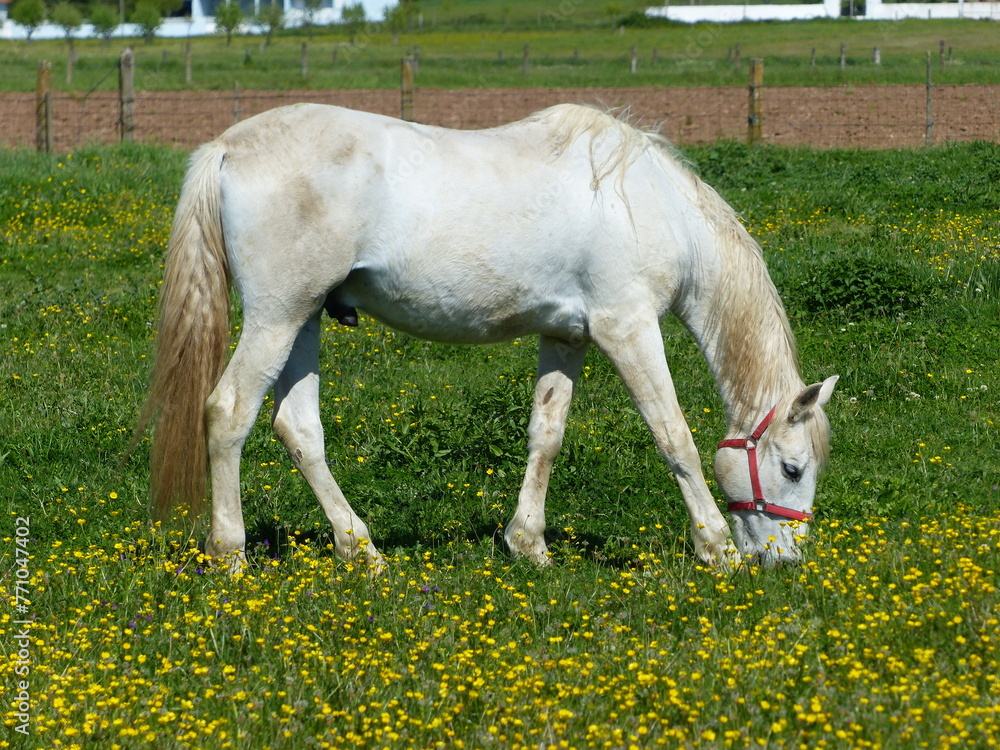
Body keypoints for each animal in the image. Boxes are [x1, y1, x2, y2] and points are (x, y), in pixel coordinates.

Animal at [133, 101, 836, 568]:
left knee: (298, 429)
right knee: (228, 414)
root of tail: (227, 147)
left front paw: (529, 547)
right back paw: (231, 556)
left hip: (302, 319)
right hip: (277, 318)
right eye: (793, 468)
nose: (786, 562)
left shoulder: (568, 336)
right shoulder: (627, 329)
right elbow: (676, 439)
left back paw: (361, 551)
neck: (648, 202)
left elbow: (546, 436)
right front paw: (715, 548)